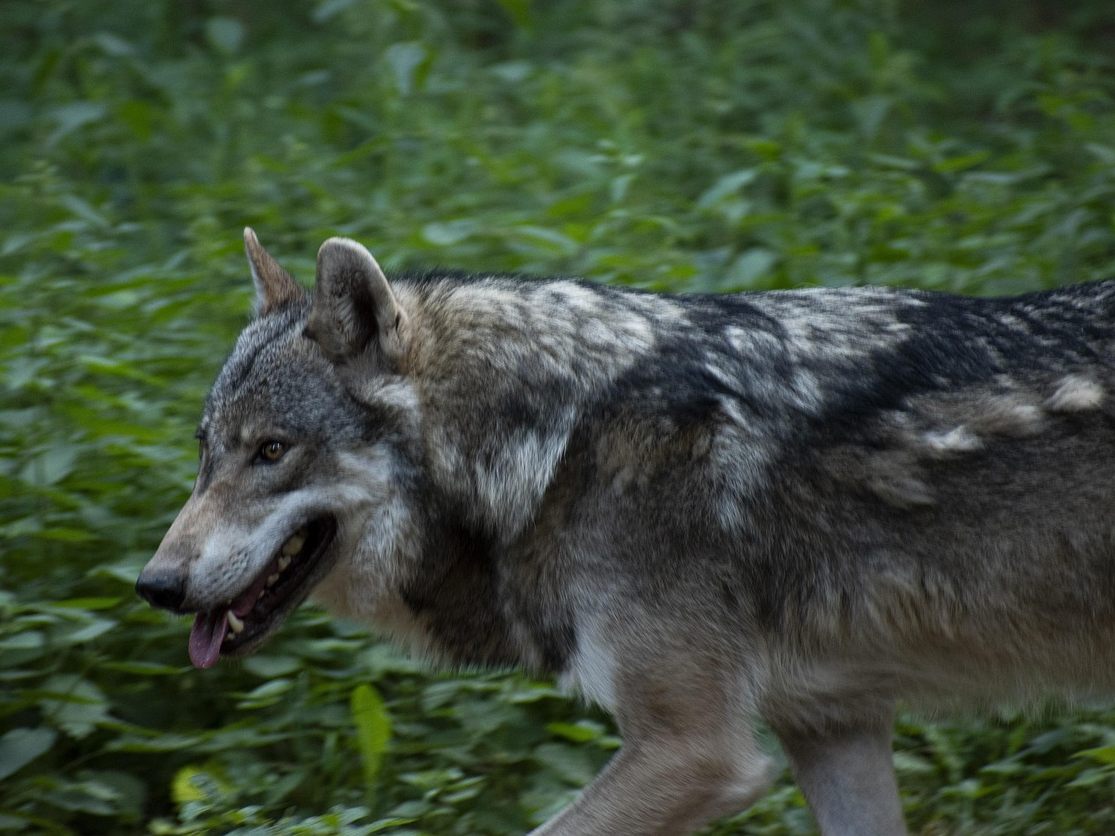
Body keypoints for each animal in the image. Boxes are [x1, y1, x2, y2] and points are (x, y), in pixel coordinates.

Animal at [137, 228, 1115, 835]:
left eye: (272, 451)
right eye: (205, 451)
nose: (154, 586)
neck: (552, 451)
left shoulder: (695, 753)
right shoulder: (833, 729)